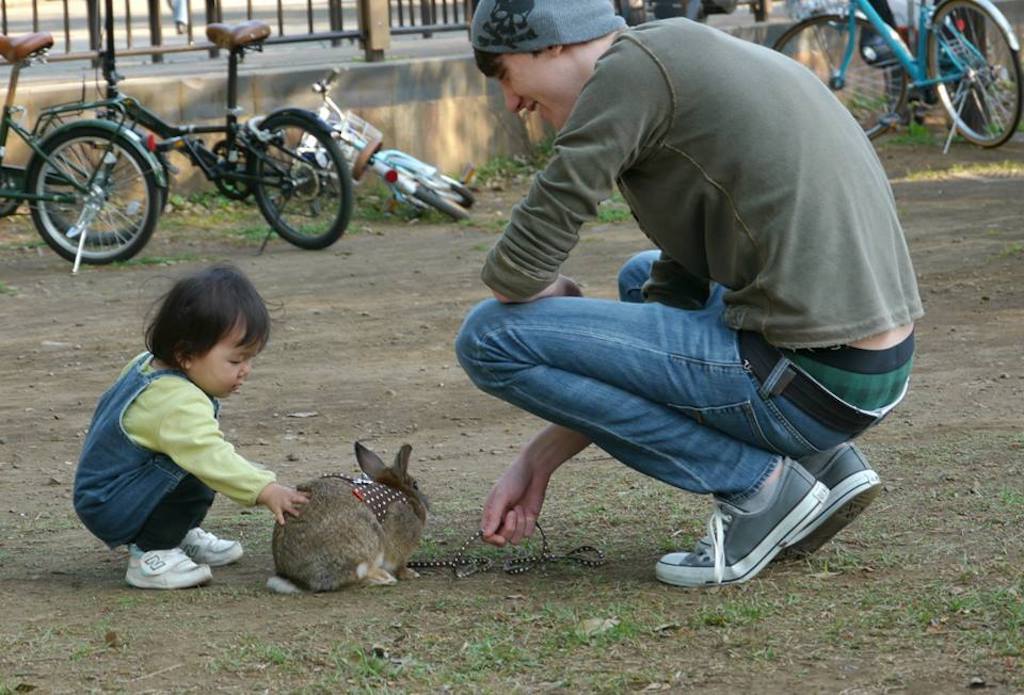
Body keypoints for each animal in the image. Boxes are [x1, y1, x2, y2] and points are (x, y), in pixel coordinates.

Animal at [268, 446, 428, 593]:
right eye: (415, 485)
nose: (427, 504)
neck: (402, 493)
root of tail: (295, 579)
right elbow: (399, 564)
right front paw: (410, 573)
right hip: (367, 543)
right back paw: (385, 578)